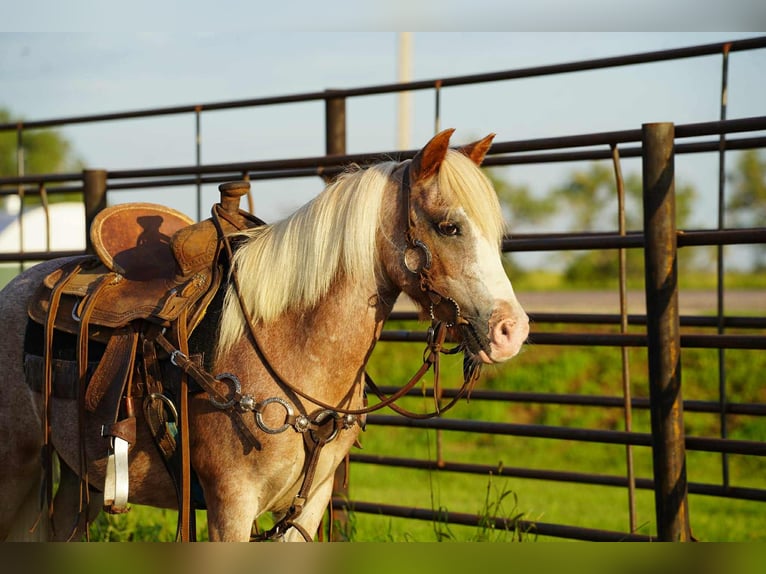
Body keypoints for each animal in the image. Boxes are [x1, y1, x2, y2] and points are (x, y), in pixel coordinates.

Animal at [0, 128, 529, 542]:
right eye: (449, 226)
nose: (512, 330)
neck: (291, 346)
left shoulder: (309, 506)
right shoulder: (231, 507)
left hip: (80, 477)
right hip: (18, 470)